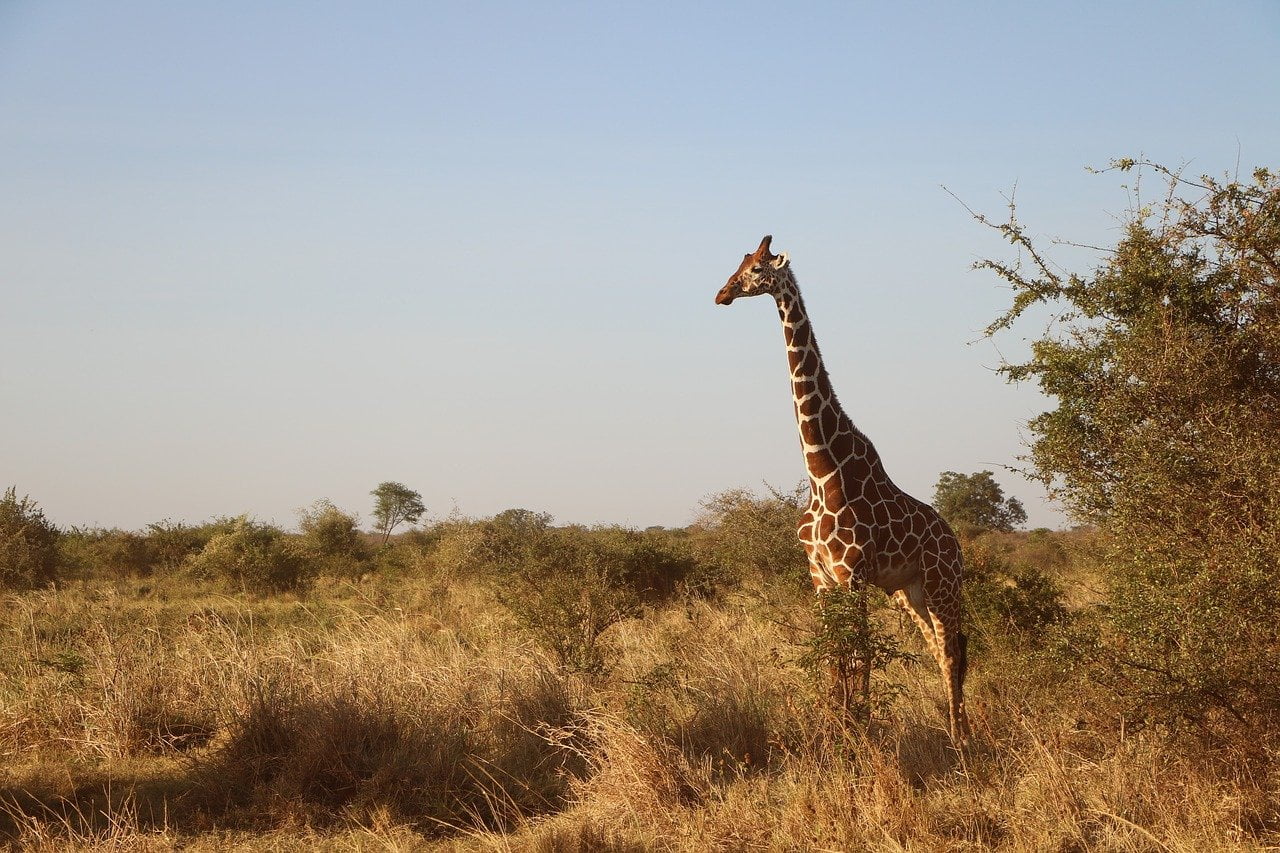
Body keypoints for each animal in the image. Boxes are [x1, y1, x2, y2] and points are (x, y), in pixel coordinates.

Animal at [711, 234, 967, 742]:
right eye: (739, 264)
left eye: (756, 270)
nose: (721, 294)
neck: (822, 470)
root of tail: (953, 539)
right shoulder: (822, 577)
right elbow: (833, 654)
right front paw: (835, 727)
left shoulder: (853, 574)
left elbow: (860, 653)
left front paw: (861, 729)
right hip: (908, 591)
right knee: (938, 647)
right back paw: (959, 726)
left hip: (941, 581)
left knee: (952, 649)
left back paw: (959, 735)